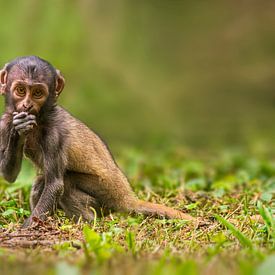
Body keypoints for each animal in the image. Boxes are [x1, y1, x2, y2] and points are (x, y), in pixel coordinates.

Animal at [0, 56, 194, 229]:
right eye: (21, 90)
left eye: (38, 93)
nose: (27, 106)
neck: (40, 118)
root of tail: (127, 197)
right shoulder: (4, 122)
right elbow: (9, 175)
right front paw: (18, 131)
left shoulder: (55, 134)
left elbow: (55, 184)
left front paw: (25, 230)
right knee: (41, 181)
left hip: (107, 193)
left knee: (65, 183)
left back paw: (87, 223)